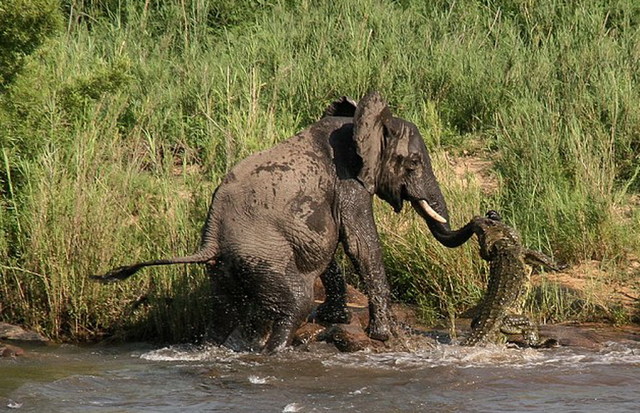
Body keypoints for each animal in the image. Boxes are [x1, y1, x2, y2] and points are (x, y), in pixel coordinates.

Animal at [92, 91, 478, 350]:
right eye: (413, 163)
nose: (484, 216)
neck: (357, 123)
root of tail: (210, 240)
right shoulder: (348, 184)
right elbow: (359, 244)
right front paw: (383, 334)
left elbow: (332, 249)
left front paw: (336, 321)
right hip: (264, 258)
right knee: (295, 303)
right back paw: (274, 352)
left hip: (227, 270)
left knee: (222, 315)